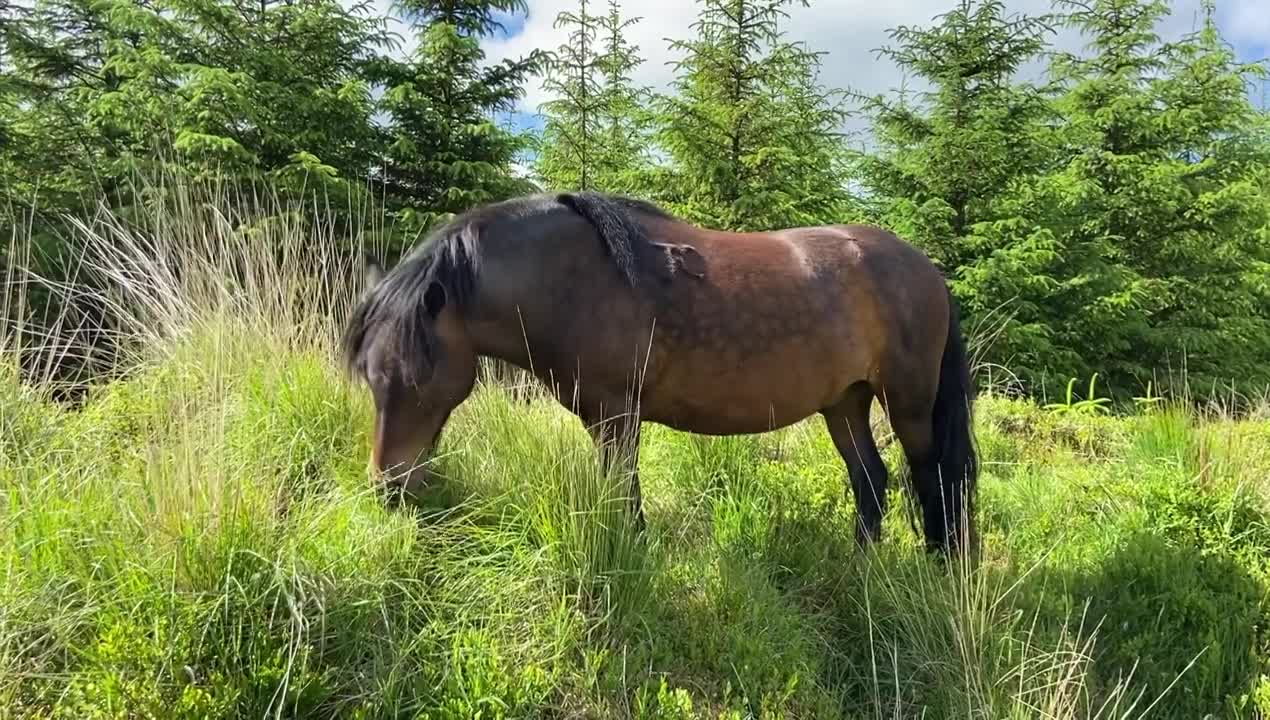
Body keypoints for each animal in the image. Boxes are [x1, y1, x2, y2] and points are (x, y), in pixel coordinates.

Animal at [340, 191, 979, 555]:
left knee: (934, 479)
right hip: (845, 402)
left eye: (417, 378)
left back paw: (939, 565)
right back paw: (860, 567)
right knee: (871, 478)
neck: (570, 278)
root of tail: (925, 269)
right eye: (369, 378)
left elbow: (624, 495)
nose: (388, 488)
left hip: (909, 402)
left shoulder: (616, 413)